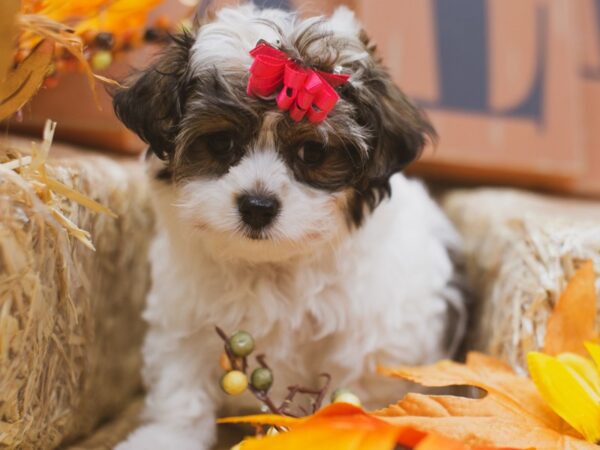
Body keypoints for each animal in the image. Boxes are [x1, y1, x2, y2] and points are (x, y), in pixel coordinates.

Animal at [113, 4, 468, 450]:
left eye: (312, 152)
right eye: (221, 143)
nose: (258, 206)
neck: (270, 266)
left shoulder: (369, 339)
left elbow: (354, 396)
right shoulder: (186, 314)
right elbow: (181, 383)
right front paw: (166, 436)